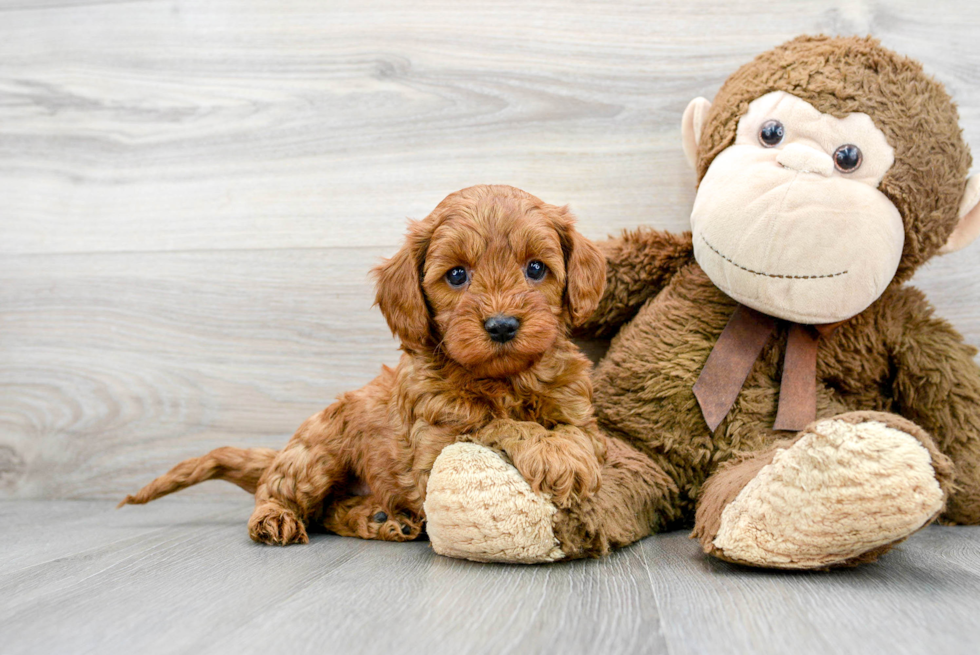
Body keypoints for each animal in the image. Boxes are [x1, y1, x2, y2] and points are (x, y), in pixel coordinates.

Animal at [119, 182, 608, 544]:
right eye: (456, 275)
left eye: (536, 268)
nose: (502, 325)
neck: (504, 380)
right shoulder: (435, 448)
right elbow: (496, 424)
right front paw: (553, 454)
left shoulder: (578, 412)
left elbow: (577, 433)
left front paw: (566, 449)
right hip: (318, 452)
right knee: (280, 491)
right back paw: (276, 519)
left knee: (327, 511)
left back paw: (380, 519)